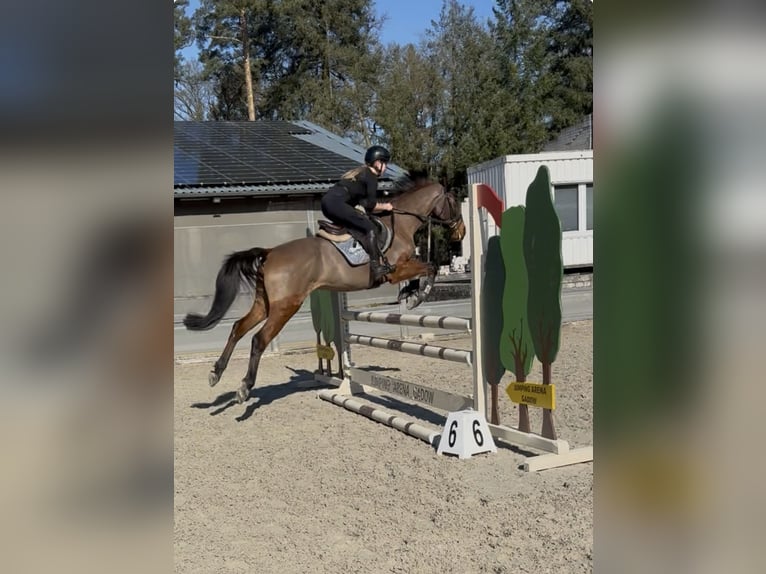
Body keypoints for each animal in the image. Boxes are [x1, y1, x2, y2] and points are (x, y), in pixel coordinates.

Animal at [183, 178, 466, 404]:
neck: (402, 222)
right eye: (454, 201)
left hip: (264, 304)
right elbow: (429, 267)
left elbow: (425, 269)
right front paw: (418, 294)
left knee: (237, 328)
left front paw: (410, 293)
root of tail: (270, 253)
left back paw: (216, 372)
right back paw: (244, 387)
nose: (460, 232)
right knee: (258, 339)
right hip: (286, 306)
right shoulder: (396, 270)